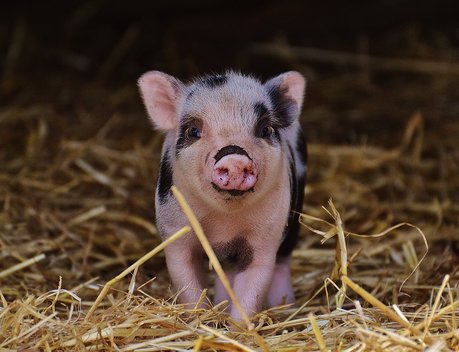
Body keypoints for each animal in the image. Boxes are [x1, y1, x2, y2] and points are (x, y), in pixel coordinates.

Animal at [138, 70, 308, 320]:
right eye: (193, 131)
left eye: (265, 130)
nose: (235, 158)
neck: (224, 223)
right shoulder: (175, 232)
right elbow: (188, 284)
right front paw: (201, 319)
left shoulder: (265, 238)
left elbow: (253, 287)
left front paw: (236, 326)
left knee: (282, 263)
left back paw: (286, 307)